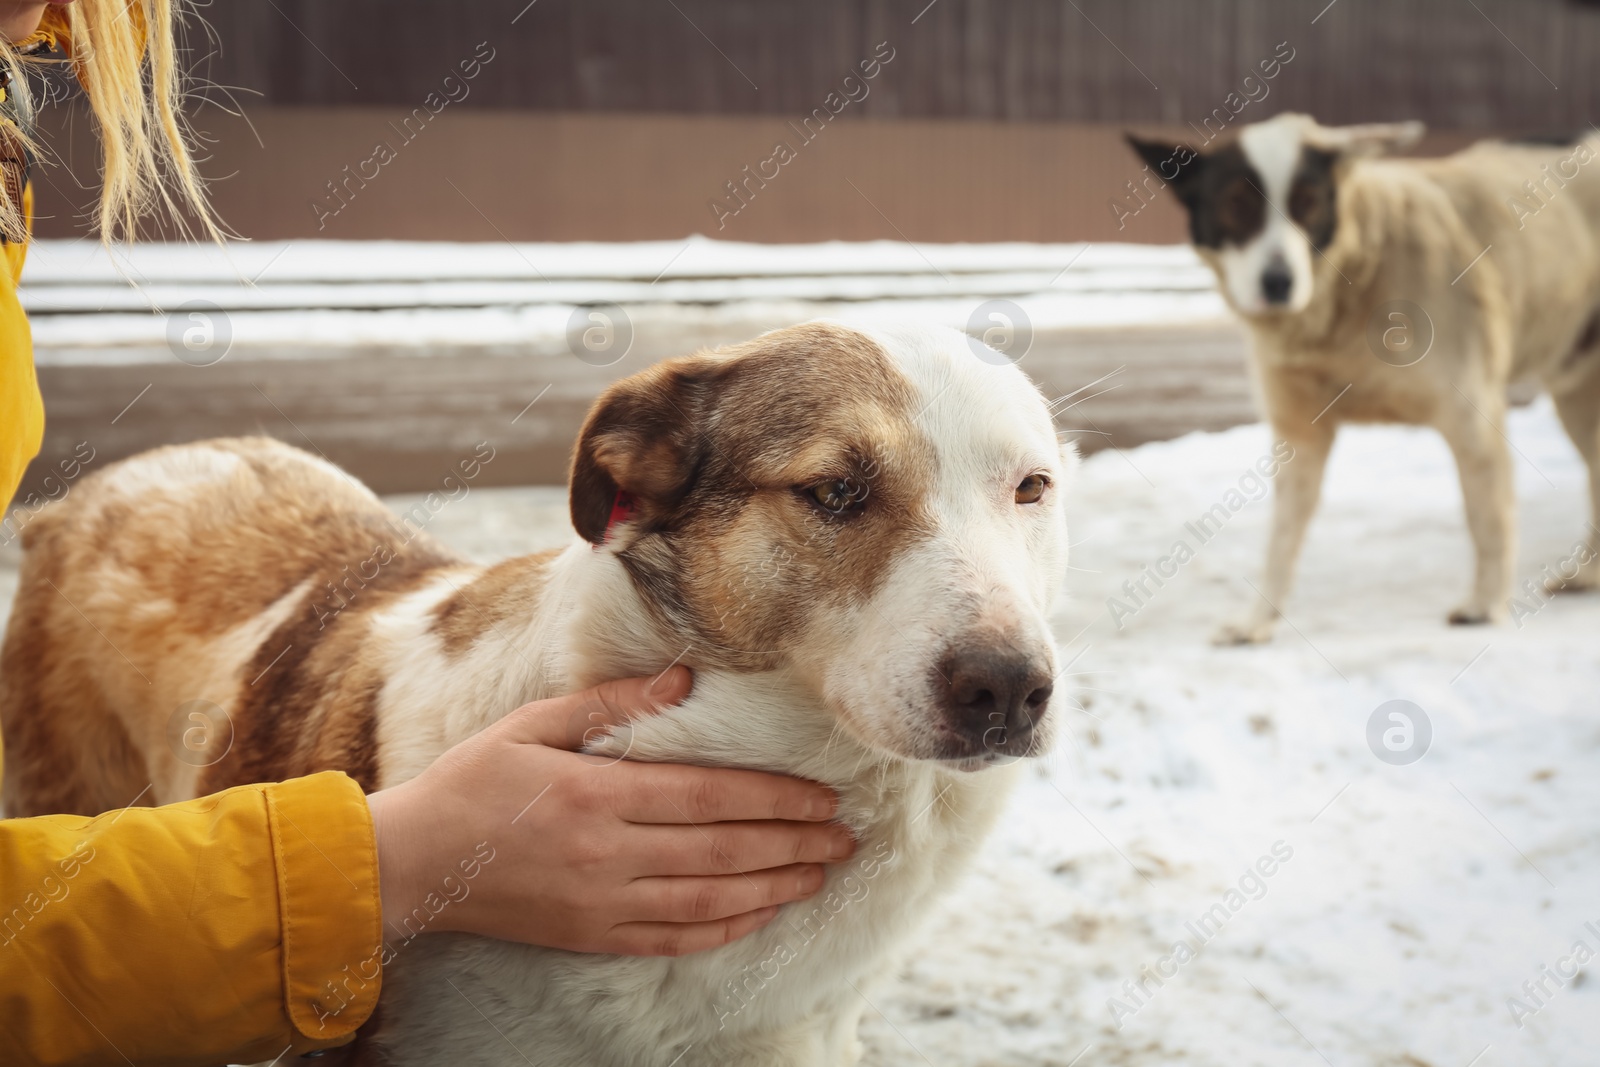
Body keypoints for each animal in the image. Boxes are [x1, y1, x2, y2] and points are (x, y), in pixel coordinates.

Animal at [1126, 111, 1600, 643]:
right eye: (1235, 205)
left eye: (1308, 202)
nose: (1278, 282)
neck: (1349, 294)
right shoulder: (1299, 436)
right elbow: (1280, 542)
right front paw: (1256, 622)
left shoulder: (1472, 420)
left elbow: (1487, 519)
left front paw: (1484, 604)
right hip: (1575, 395)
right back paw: (1587, 574)